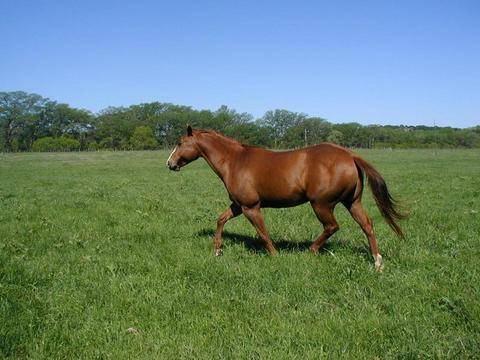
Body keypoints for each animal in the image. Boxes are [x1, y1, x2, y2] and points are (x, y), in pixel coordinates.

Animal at [166, 126, 404, 270]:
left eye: (179, 142)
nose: (170, 163)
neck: (234, 161)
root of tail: (349, 155)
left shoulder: (251, 207)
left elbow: (262, 233)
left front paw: (274, 255)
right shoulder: (238, 205)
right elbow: (221, 219)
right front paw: (217, 250)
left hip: (321, 205)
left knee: (332, 227)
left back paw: (311, 250)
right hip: (352, 202)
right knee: (367, 225)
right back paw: (377, 262)